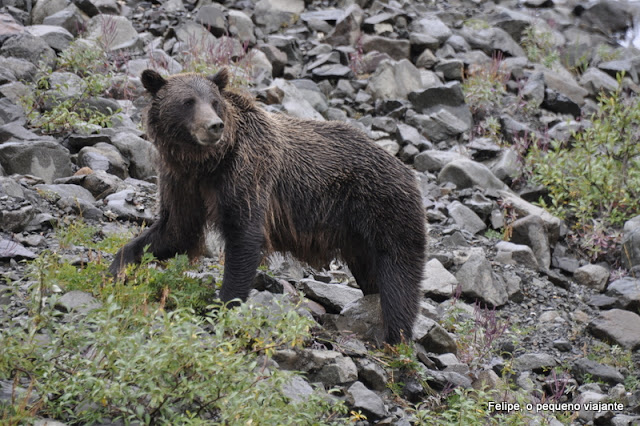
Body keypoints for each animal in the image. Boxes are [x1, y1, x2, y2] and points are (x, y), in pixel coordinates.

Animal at [110, 68, 428, 344]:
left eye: (214, 102)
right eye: (187, 102)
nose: (214, 126)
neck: (207, 163)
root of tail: (407, 170)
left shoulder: (246, 173)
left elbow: (244, 236)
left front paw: (222, 304)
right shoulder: (182, 183)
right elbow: (175, 230)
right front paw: (117, 267)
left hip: (385, 209)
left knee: (398, 277)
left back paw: (395, 338)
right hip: (359, 239)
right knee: (372, 276)